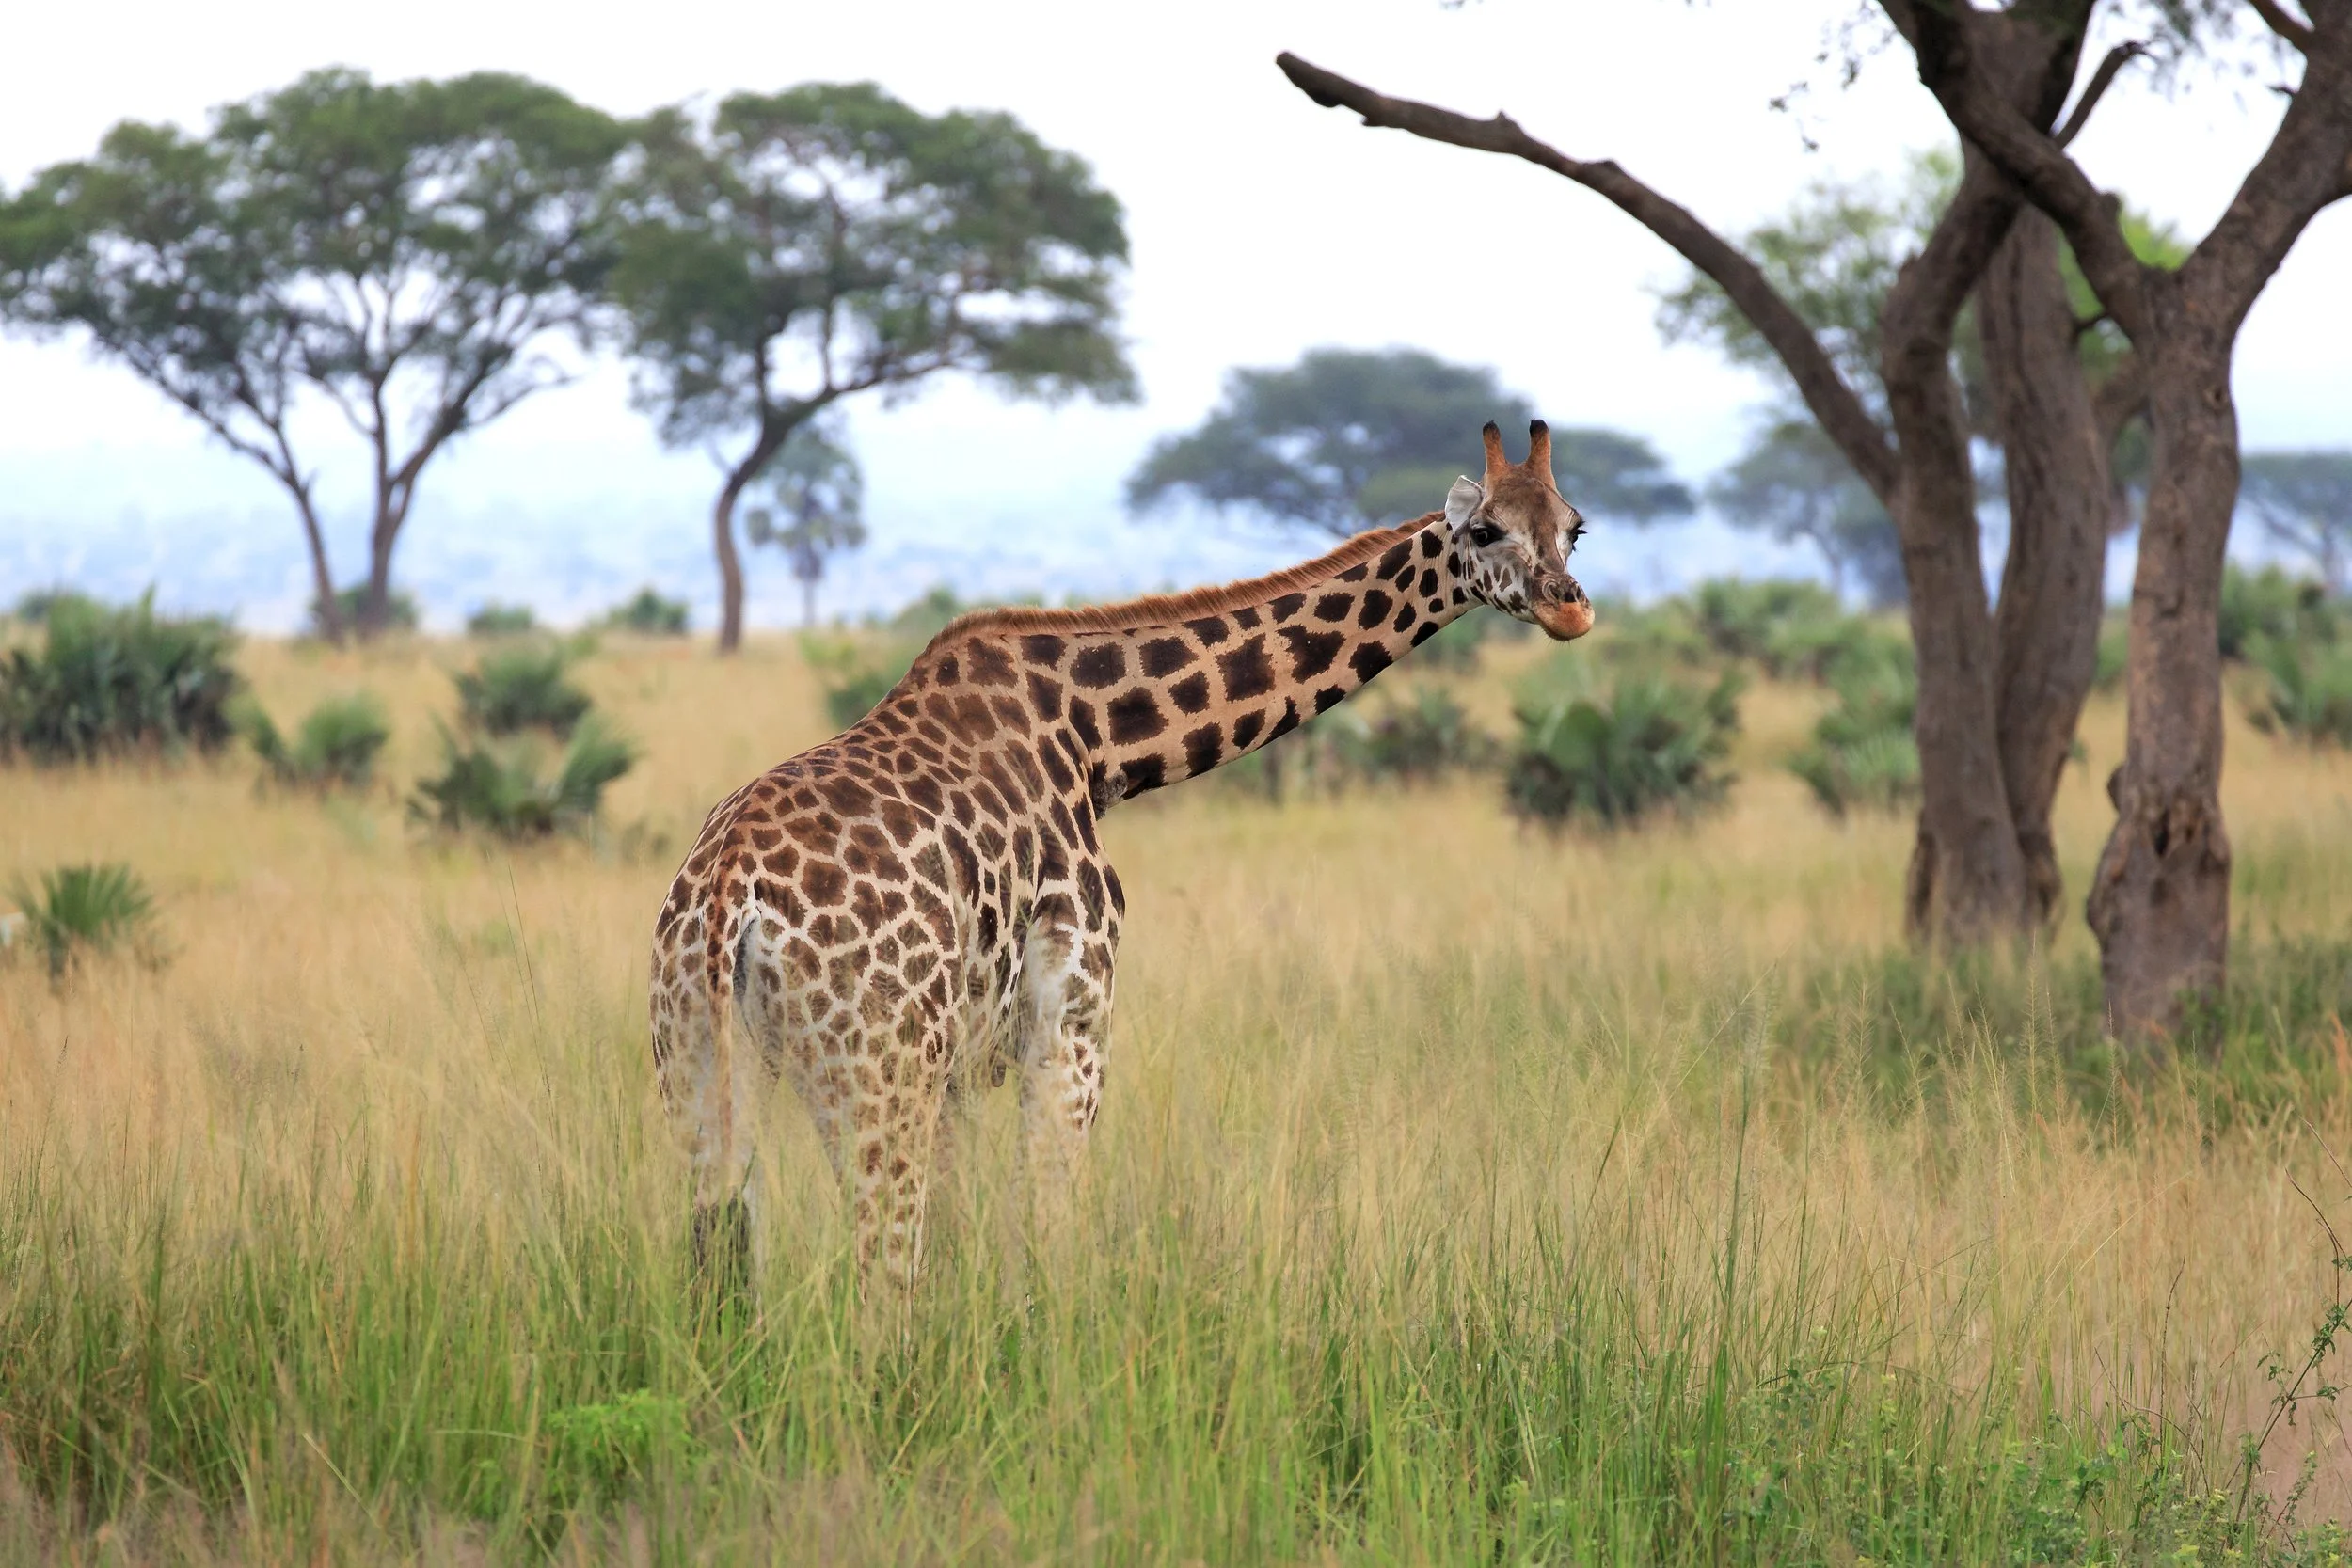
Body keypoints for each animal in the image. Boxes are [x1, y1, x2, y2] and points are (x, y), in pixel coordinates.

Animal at [649, 420, 1593, 1283]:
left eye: (1573, 525)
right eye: (1485, 530)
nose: (1570, 605)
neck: (1093, 737)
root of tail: (727, 898)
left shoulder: (960, 1068)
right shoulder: (1070, 1017)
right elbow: (1043, 1234)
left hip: (705, 1068)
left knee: (723, 1256)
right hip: (876, 1069)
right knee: (880, 1275)